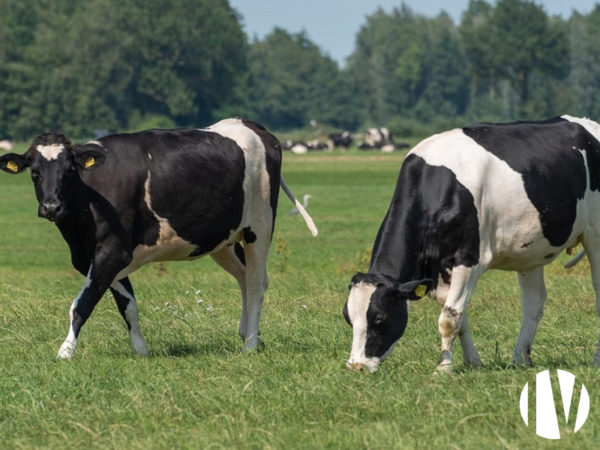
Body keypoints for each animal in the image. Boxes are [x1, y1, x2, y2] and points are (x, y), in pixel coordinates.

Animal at [0, 117, 318, 358]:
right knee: (245, 278)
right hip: (223, 239)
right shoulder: (100, 258)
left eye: (68, 171)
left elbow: (82, 304)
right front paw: (140, 350)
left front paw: (65, 352)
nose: (51, 207)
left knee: (255, 282)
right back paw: (250, 335)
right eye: (35, 173)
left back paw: (250, 345)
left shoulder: (111, 252)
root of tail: (250, 124)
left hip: (259, 227)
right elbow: (127, 305)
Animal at [344, 116, 600, 372]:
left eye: (380, 318)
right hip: (531, 251)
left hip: (595, 235)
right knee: (534, 303)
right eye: (348, 318)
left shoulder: (468, 259)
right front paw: (472, 362)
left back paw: (595, 360)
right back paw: (520, 358)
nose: (356, 366)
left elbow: (449, 319)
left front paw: (443, 368)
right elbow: (459, 316)